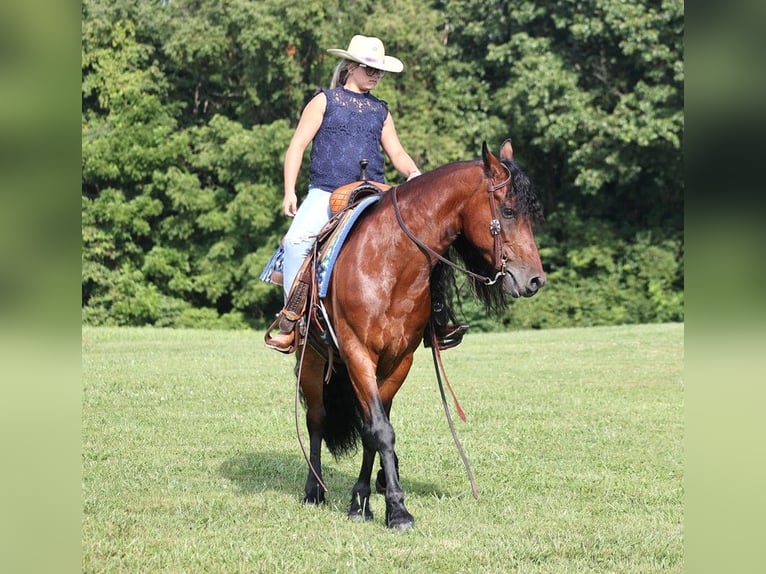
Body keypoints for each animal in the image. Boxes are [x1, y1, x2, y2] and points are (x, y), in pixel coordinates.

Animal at [292, 140, 544, 532]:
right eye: (507, 210)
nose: (535, 279)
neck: (390, 261)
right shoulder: (357, 352)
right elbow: (379, 430)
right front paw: (397, 509)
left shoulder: (399, 360)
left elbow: (375, 430)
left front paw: (363, 501)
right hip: (313, 361)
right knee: (316, 419)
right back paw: (313, 490)